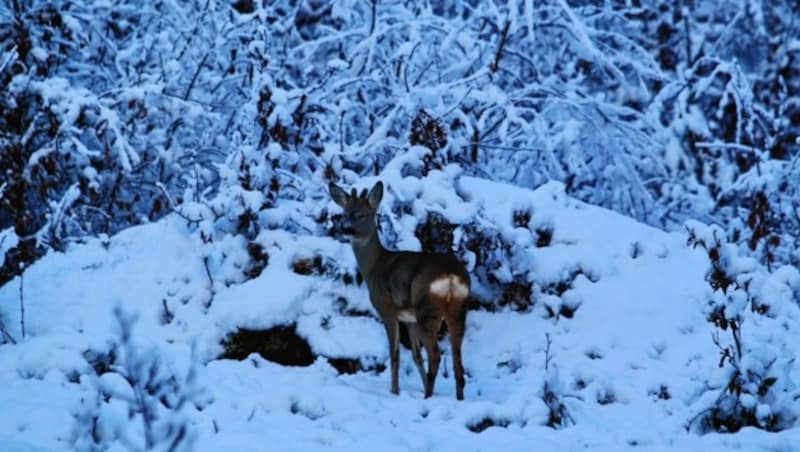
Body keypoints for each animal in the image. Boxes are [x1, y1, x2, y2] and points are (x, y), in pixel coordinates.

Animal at [330, 180, 472, 400]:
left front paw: (395, 392)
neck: (374, 267)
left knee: (435, 355)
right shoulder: (409, 318)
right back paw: (455, 398)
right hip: (458, 309)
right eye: (345, 213)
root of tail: (450, 276)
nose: (347, 229)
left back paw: (428, 396)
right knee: (458, 362)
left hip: (427, 310)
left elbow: (395, 354)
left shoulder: (386, 308)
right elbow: (416, 356)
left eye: (363, 215)